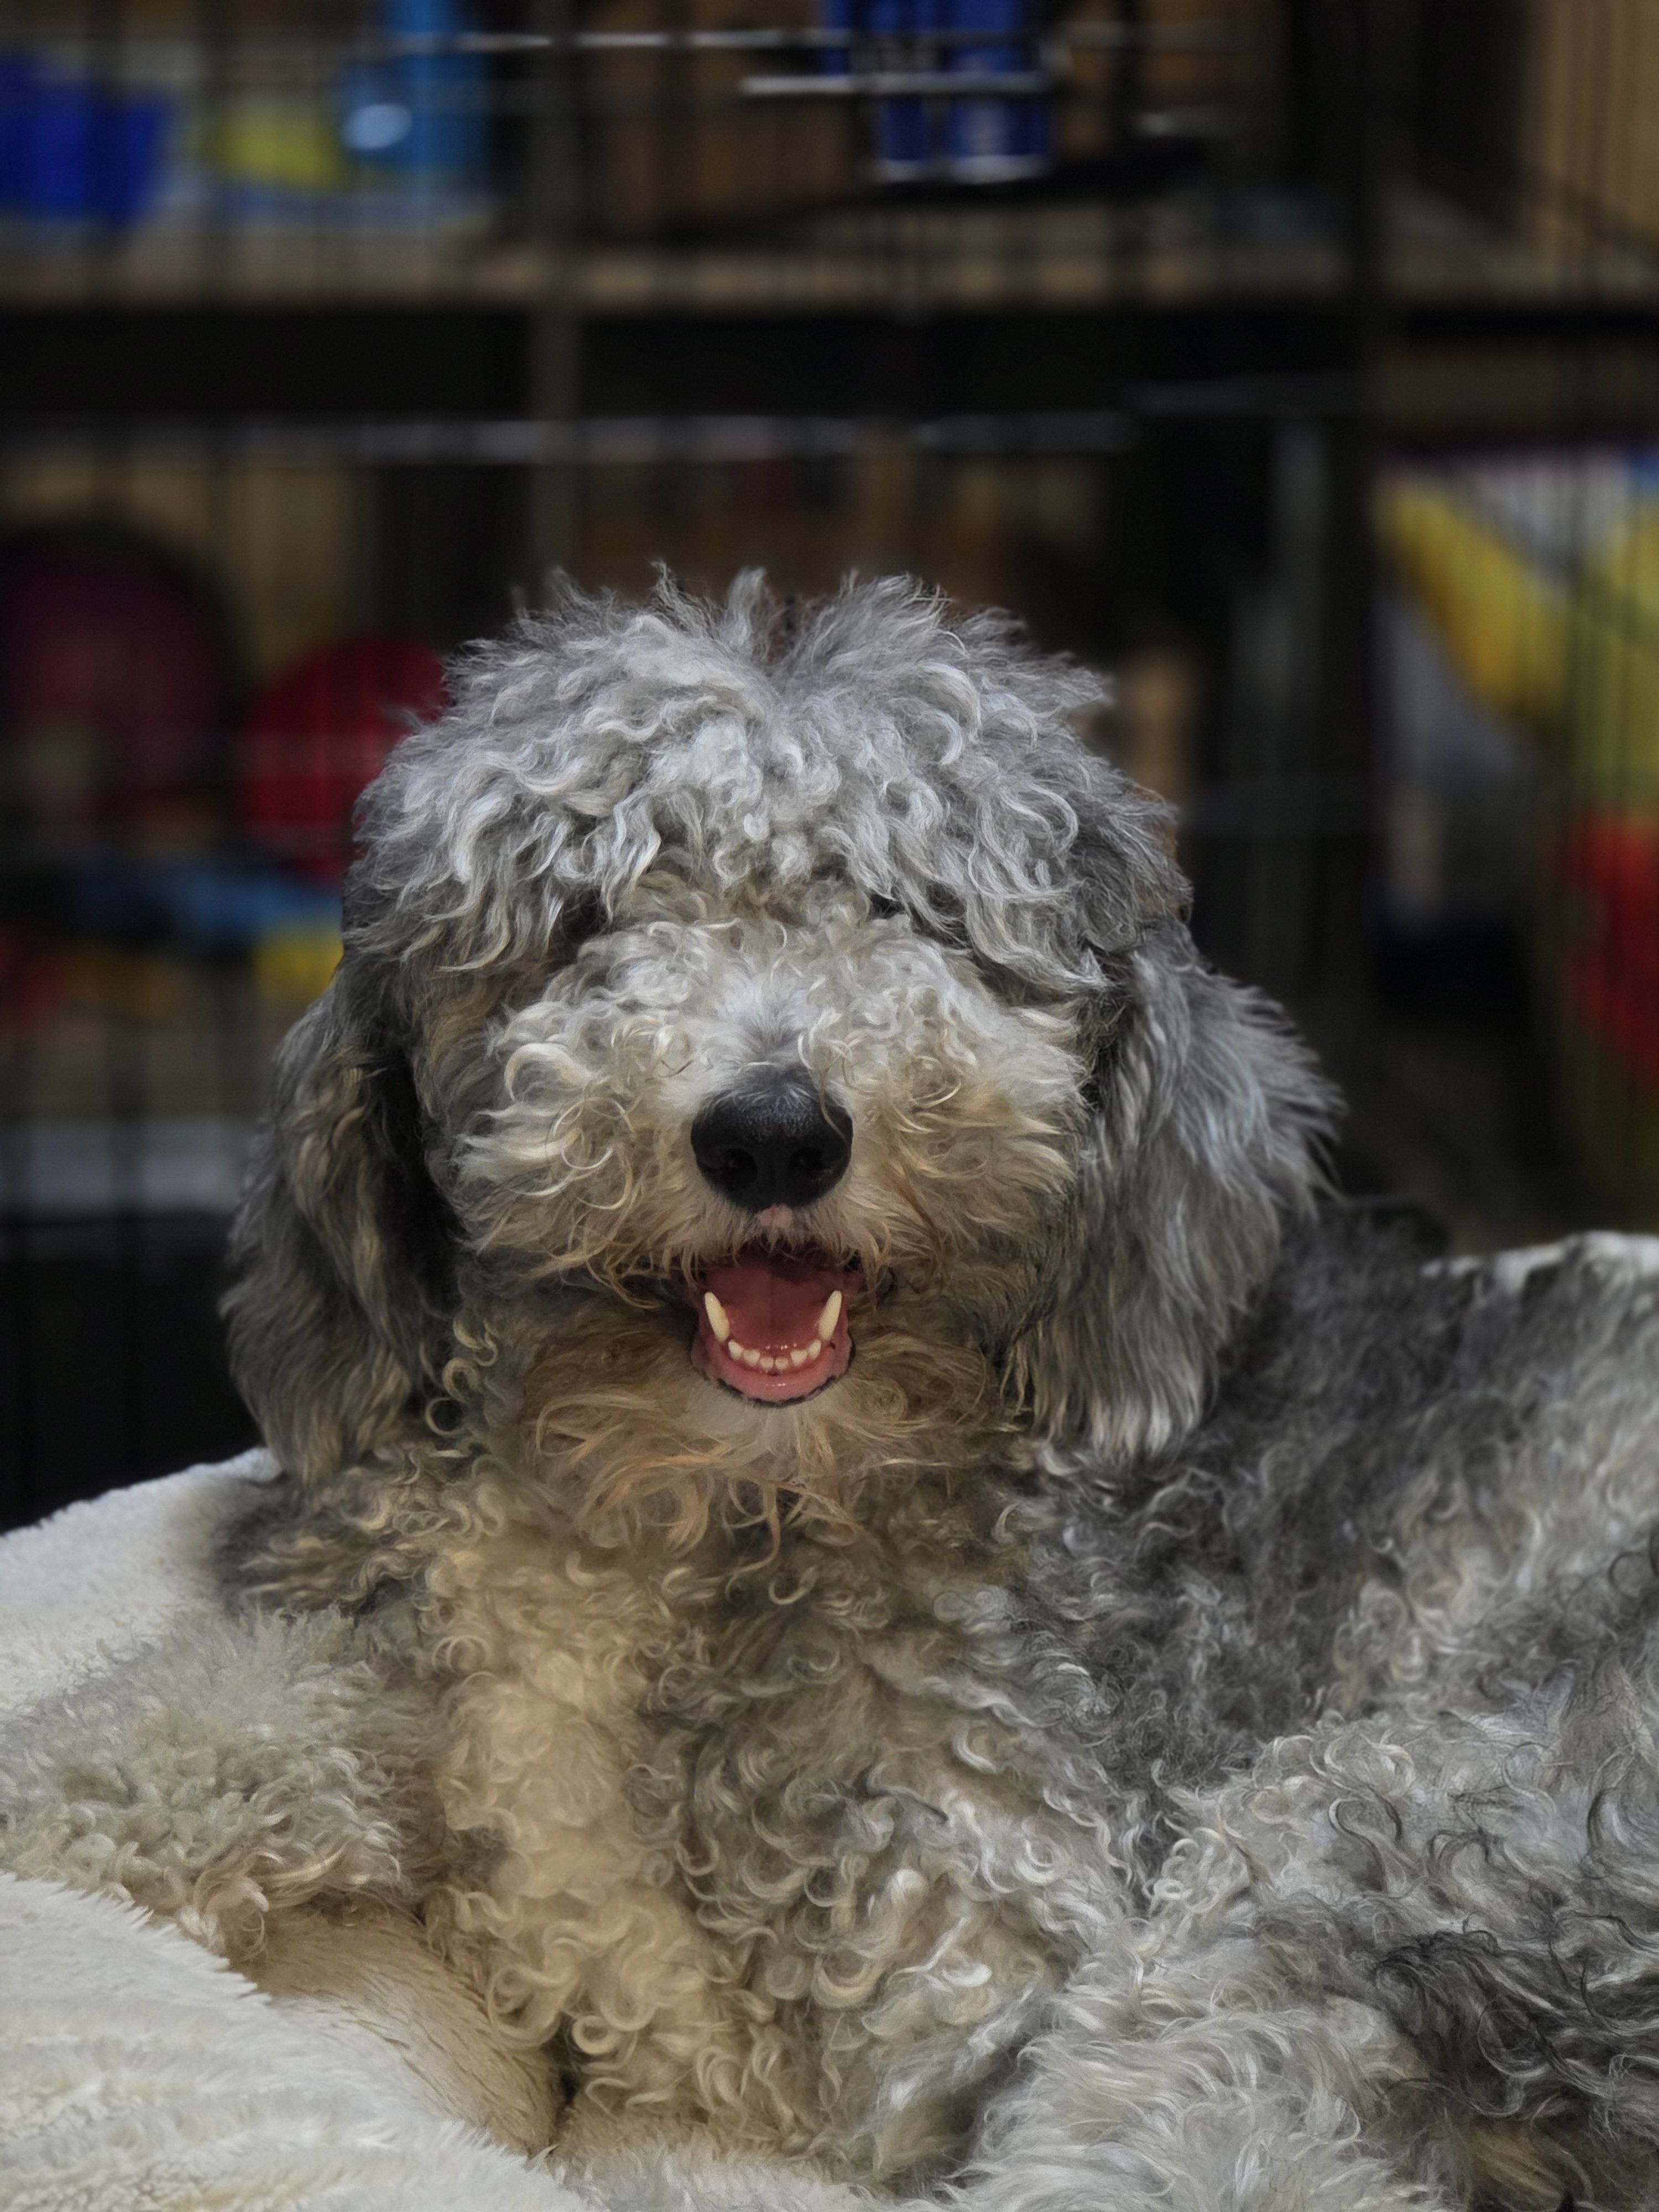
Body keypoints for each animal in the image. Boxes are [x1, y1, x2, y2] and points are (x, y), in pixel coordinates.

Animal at [9, 575, 1659, 2212]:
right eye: (587, 921)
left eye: (911, 915)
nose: (775, 1132)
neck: (703, 1496)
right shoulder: (425, 1656)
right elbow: (256, 1702)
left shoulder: (933, 2004)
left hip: (1354, 1842)